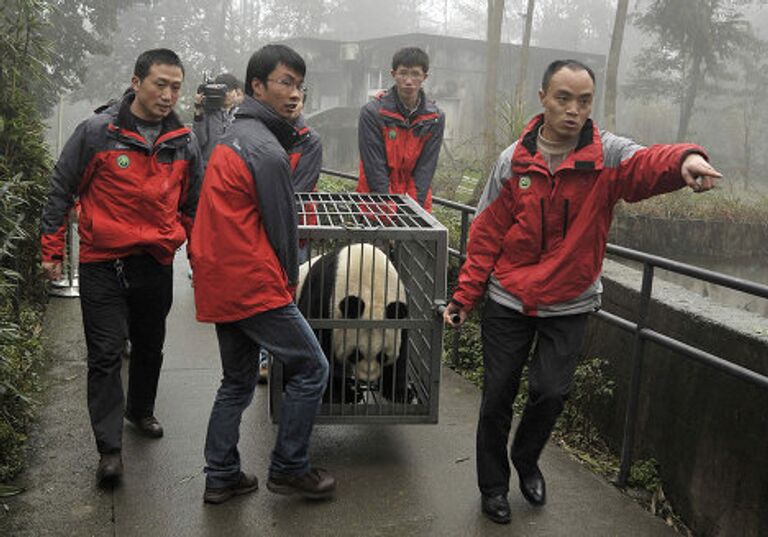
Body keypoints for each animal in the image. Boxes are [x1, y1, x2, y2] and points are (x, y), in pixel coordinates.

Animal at [296, 243, 412, 402]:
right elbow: (319, 351)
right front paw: (338, 394)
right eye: (356, 354)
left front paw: (399, 392)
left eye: (382, 356)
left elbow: (401, 354)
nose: (367, 380)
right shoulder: (323, 300)